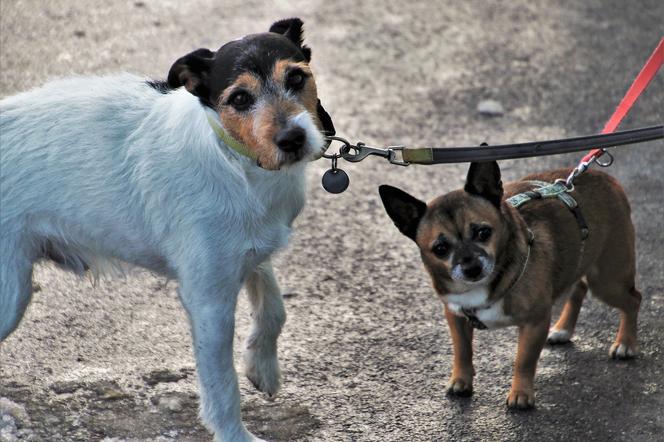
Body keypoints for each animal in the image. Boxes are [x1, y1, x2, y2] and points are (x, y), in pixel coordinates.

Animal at [0, 18, 332, 442]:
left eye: (296, 77)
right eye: (240, 98)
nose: (293, 139)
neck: (236, 161)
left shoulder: (248, 254)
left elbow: (274, 307)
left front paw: (263, 367)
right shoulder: (208, 299)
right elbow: (222, 385)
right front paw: (235, 435)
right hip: (10, 293)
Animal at [382, 163, 640, 410]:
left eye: (483, 232)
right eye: (440, 249)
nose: (471, 267)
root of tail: (605, 177)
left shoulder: (534, 323)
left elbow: (523, 360)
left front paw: (521, 394)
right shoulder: (455, 316)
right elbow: (462, 351)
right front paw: (461, 381)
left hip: (608, 281)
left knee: (633, 299)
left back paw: (625, 344)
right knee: (578, 288)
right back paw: (564, 329)